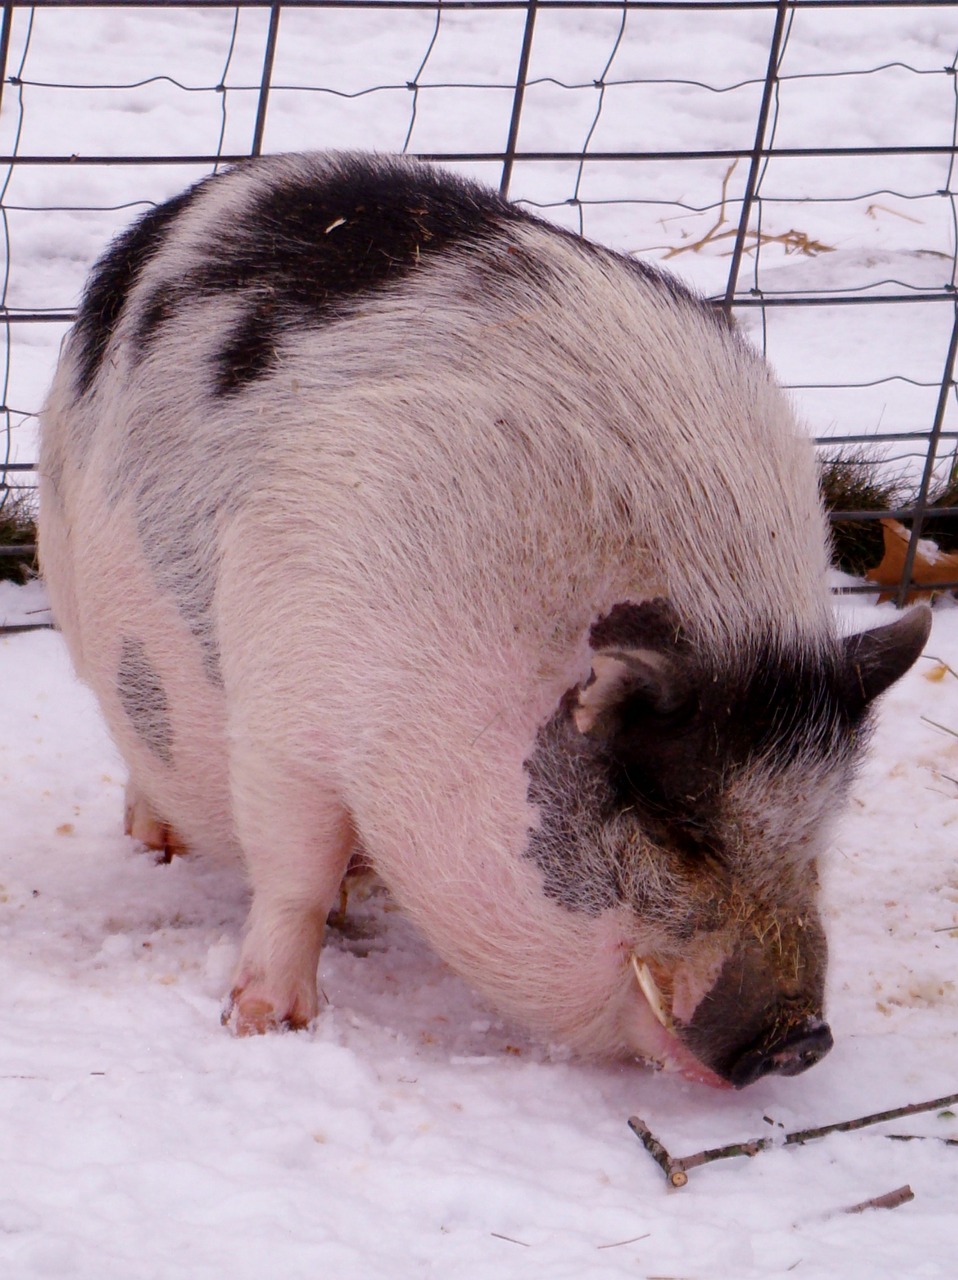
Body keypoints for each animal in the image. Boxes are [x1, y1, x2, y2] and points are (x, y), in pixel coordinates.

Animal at [41, 152, 932, 1090]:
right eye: (674, 829)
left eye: (819, 830)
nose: (802, 1039)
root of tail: (209, 193)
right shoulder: (289, 707)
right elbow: (295, 875)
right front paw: (266, 1026)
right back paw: (158, 842)